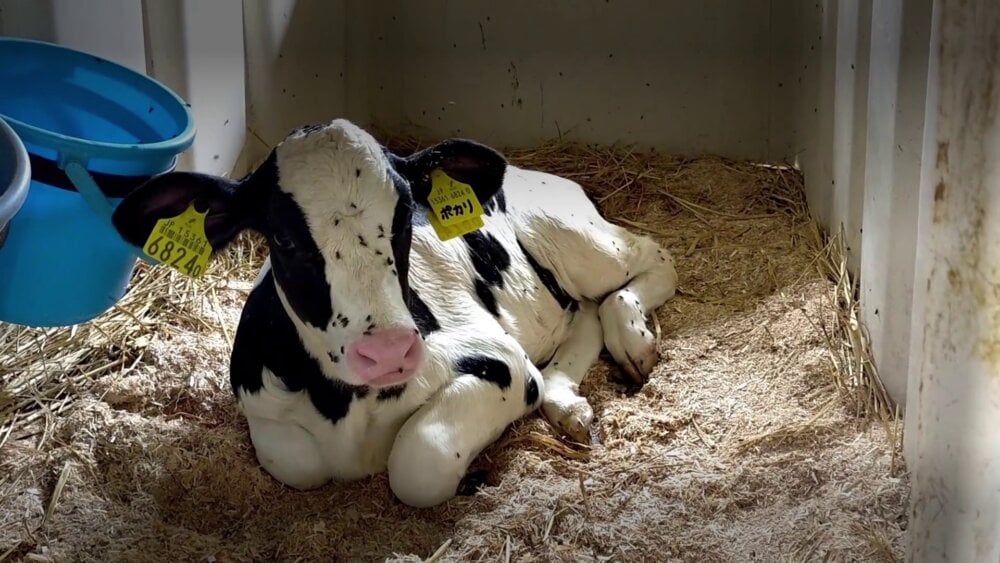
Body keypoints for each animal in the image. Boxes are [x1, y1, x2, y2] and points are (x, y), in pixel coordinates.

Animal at [110, 119, 677, 508]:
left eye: (405, 219)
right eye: (284, 238)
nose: (387, 352)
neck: (348, 407)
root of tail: (530, 169)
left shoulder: (503, 362)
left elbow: (418, 460)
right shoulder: (264, 409)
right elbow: (296, 463)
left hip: (574, 239)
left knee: (650, 262)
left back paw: (633, 339)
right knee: (583, 314)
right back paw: (568, 403)